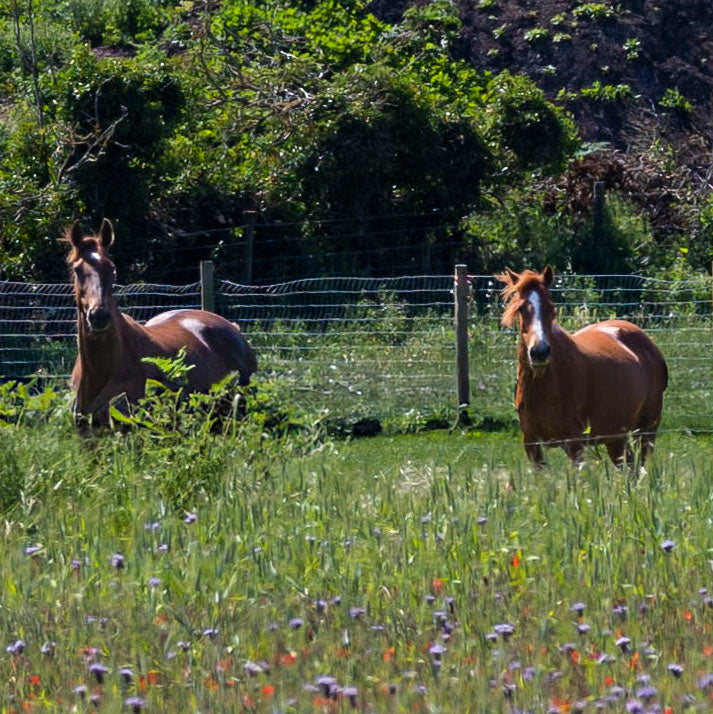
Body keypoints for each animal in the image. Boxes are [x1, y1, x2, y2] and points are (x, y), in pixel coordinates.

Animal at [496, 267, 668, 467]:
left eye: (551, 308)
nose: (540, 351)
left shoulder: (574, 443)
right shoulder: (532, 444)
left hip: (647, 429)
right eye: (521, 308)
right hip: (616, 437)